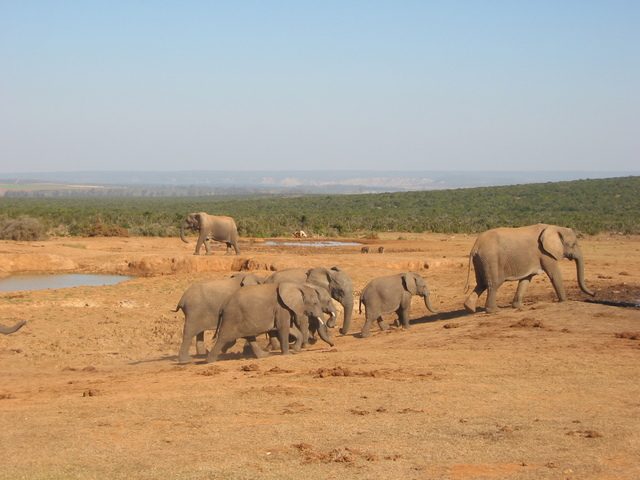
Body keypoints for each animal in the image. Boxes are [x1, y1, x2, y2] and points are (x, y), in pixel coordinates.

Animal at [462, 223, 596, 314]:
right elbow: (554, 273)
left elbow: (526, 279)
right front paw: (564, 301)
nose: (594, 294)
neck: (554, 227)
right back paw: (495, 311)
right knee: (493, 284)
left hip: (481, 260)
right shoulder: (545, 253)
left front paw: (518, 307)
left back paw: (469, 308)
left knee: (481, 284)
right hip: (491, 259)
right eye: (573, 245)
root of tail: (475, 246)